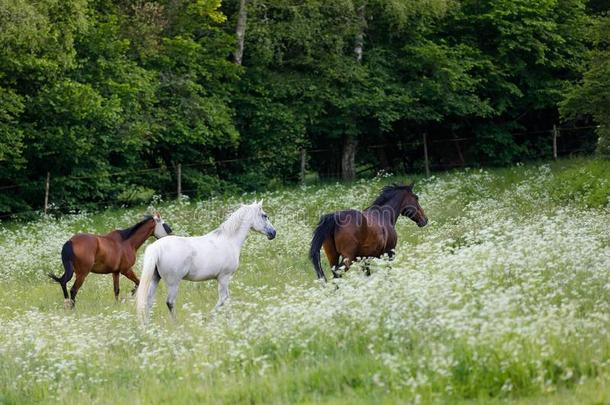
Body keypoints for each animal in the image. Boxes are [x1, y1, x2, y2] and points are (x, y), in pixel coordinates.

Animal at [136, 200, 276, 322]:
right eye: (264, 215)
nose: (273, 233)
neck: (229, 240)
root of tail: (156, 248)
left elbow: (227, 299)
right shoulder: (224, 277)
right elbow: (223, 299)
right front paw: (208, 317)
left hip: (155, 278)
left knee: (148, 301)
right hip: (173, 283)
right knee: (170, 302)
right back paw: (176, 324)